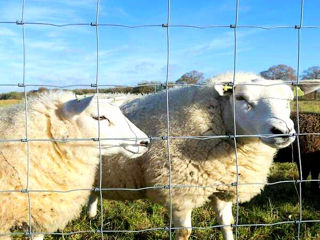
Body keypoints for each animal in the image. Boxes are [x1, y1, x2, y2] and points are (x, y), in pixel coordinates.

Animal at [87, 73, 320, 240]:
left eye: (289, 100)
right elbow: (184, 232)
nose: (283, 131)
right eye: (241, 98)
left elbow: (226, 224)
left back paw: (91, 215)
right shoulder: (180, 191)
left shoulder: (225, 185)